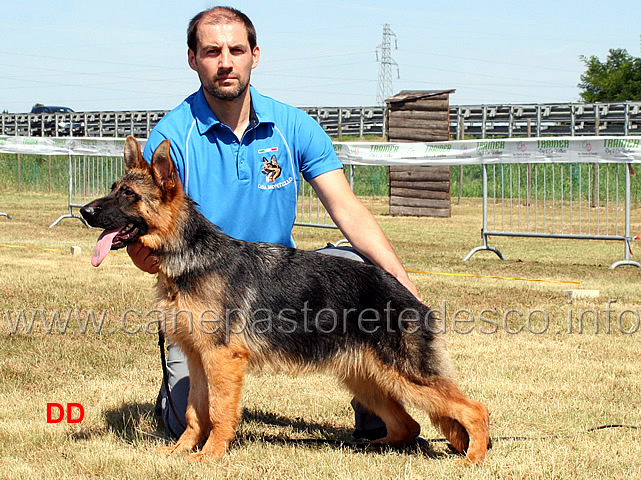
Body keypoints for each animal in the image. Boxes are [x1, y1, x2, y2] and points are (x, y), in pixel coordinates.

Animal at [80, 136, 490, 464]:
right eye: (113, 188)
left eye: (128, 195)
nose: (84, 212)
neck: (191, 254)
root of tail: (411, 299)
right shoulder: (198, 360)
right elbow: (196, 413)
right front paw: (182, 451)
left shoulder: (222, 361)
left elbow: (219, 413)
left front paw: (210, 456)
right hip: (368, 380)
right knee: (408, 424)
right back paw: (372, 448)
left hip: (406, 376)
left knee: (474, 410)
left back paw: (471, 460)